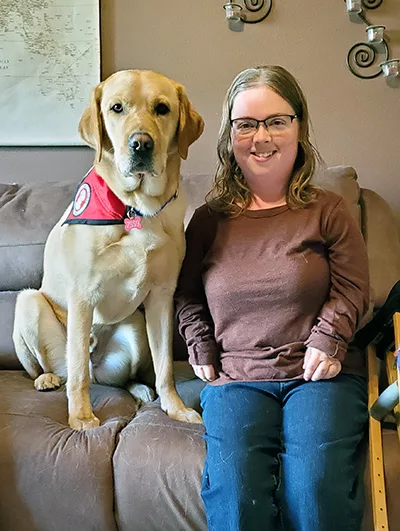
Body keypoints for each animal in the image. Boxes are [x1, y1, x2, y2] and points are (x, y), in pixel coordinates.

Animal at [12, 68, 205, 430]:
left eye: (162, 108)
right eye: (117, 108)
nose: (141, 143)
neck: (136, 208)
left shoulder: (161, 297)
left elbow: (165, 367)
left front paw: (174, 408)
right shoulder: (82, 296)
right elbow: (77, 376)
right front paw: (80, 417)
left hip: (136, 328)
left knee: (116, 378)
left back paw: (139, 388)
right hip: (28, 303)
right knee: (64, 370)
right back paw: (47, 379)